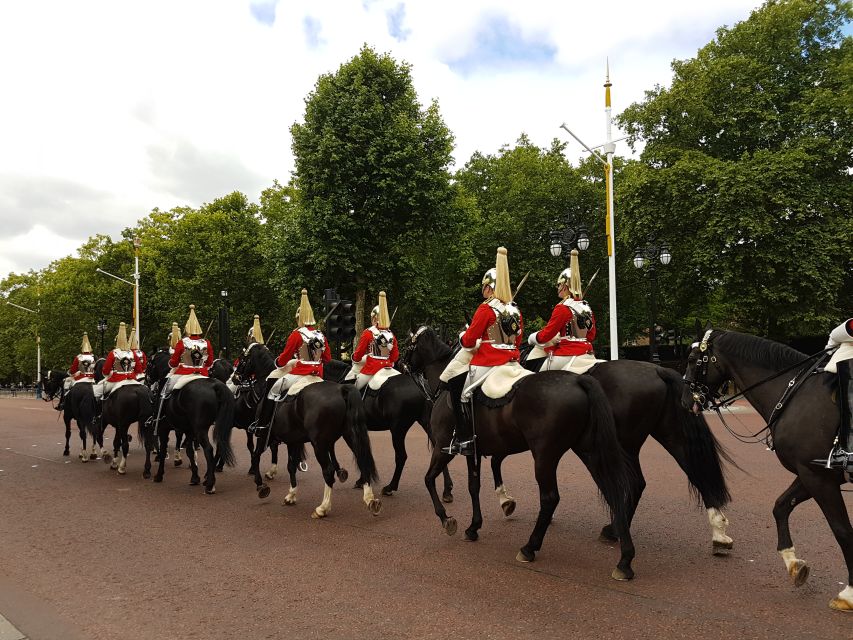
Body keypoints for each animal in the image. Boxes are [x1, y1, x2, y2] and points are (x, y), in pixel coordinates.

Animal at [144, 350, 235, 490]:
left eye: (149, 364)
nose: (146, 381)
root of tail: (215, 385)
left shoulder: (163, 428)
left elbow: (164, 449)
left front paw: (159, 475)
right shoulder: (188, 429)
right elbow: (189, 451)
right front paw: (195, 476)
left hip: (200, 429)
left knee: (208, 449)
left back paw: (210, 484)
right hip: (218, 426)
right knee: (219, 445)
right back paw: (209, 476)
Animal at [233, 344, 380, 520]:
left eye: (242, 359)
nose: (235, 378)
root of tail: (342, 389)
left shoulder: (264, 434)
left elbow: (256, 457)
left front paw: (261, 486)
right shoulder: (293, 440)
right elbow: (291, 466)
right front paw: (291, 495)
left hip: (319, 444)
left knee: (328, 471)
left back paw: (323, 508)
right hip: (350, 435)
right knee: (362, 461)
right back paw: (370, 500)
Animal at [402, 330, 636, 580]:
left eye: (408, 345)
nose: (400, 364)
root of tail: (578, 380)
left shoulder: (443, 448)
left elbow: (428, 479)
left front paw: (447, 519)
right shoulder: (473, 451)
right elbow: (474, 486)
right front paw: (474, 527)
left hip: (544, 456)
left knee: (550, 498)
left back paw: (529, 547)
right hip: (588, 451)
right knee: (612, 491)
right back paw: (625, 558)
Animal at [684, 328, 852, 612]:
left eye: (693, 358)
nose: (685, 401)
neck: (794, 392)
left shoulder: (819, 477)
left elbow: (842, 530)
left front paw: (849, 593)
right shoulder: (810, 474)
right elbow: (781, 506)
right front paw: (794, 565)